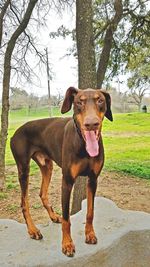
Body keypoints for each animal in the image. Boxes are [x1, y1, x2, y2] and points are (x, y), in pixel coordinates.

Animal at [10, 87, 112, 258]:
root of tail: (15, 133)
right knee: (24, 202)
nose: (91, 124)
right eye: (79, 102)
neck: (82, 143)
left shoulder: (93, 179)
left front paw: (89, 234)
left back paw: (53, 216)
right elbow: (66, 218)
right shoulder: (67, 181)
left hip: (47, 166)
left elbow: (90, 212)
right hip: (23, 169)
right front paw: (67, 244)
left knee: (42, 193)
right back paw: (33, 230)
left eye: (100, 100)